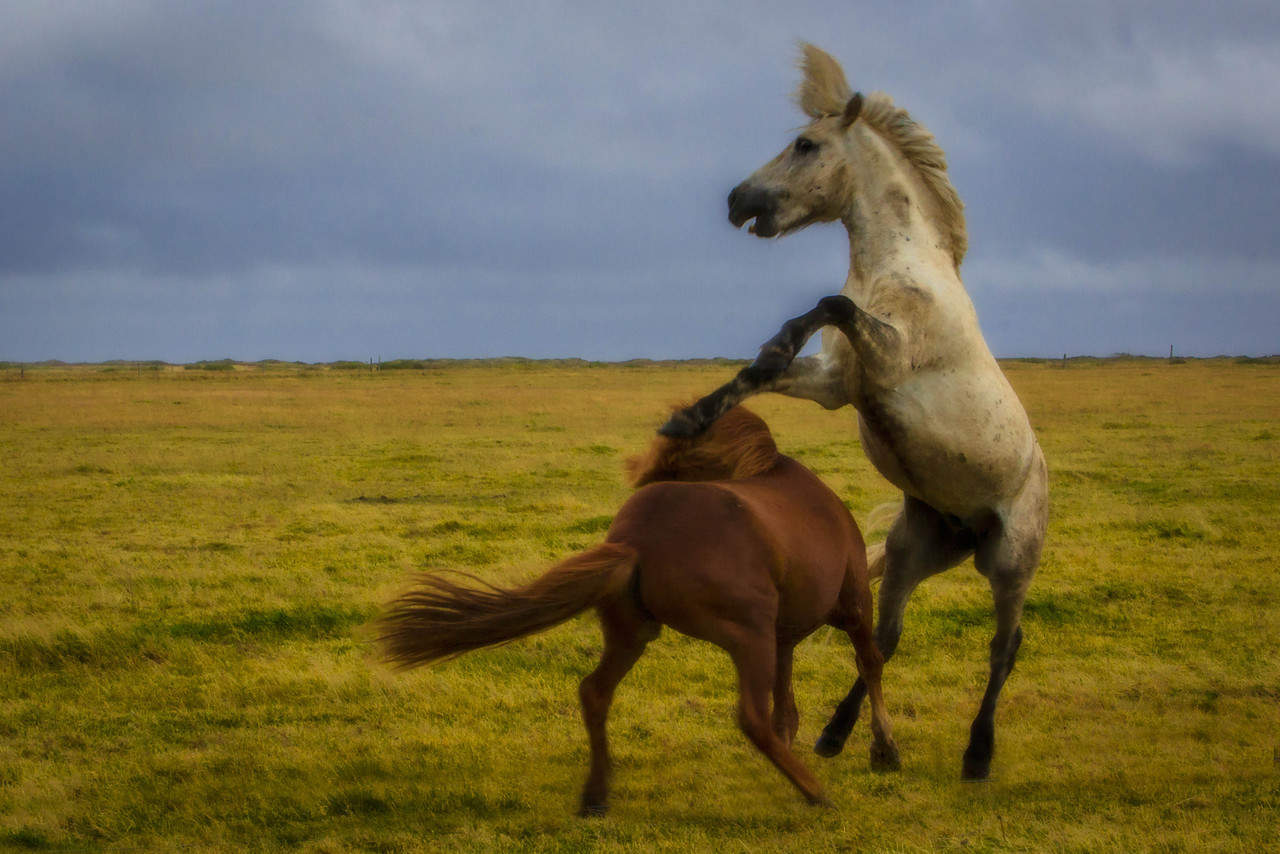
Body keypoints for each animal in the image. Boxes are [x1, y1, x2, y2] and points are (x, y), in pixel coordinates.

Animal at [378, 406, 899, 816]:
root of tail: (635, 542)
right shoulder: (852, 605)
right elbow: (869, 663)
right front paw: (883, 751)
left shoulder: (784, 636)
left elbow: (787, 707)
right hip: (745, 634)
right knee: (750, 717)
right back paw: (816, 792)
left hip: (635, 633)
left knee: (594, 692)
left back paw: (596, 796)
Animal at [660, 44, 1048, 781]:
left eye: (805, 145)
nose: (737, 200)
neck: (904, 268)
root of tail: (972, 529)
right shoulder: (838, 382)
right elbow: (762, 370)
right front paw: (687, 421)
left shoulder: (886, 362)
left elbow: (826, 305)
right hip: (911, 552)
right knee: (886, 637)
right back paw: (839, 737)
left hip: (1010, 562)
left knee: (1003, 649)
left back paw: (977, 754)